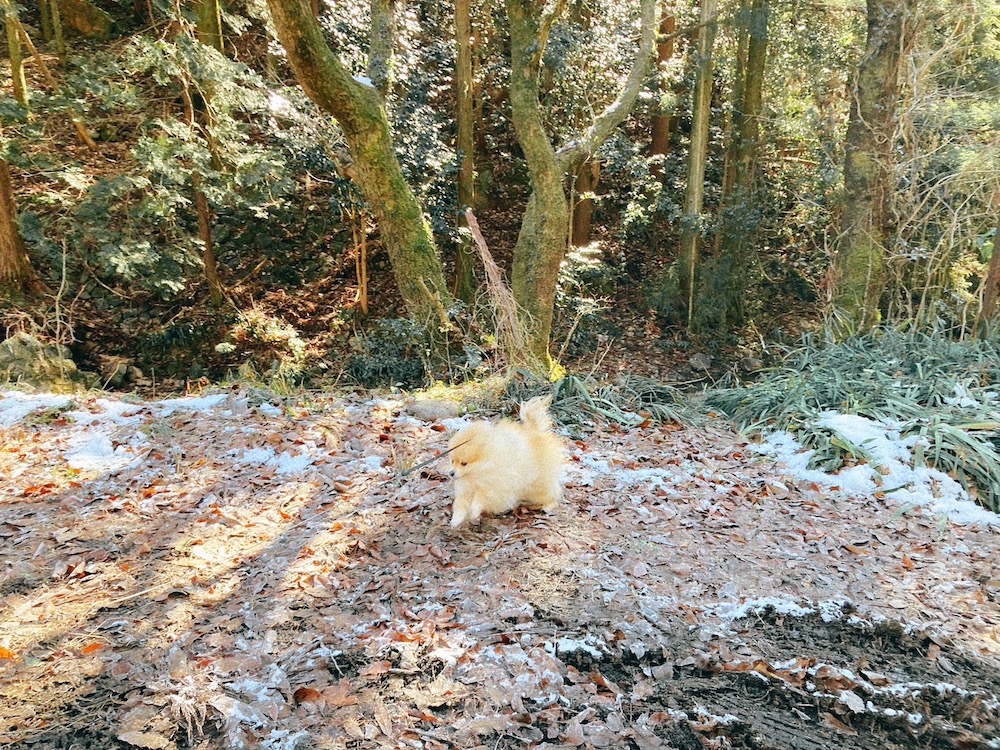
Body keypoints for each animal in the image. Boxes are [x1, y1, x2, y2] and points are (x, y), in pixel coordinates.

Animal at [450, 396, 568, 524]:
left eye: (464, 463)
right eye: (452, 461)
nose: (451, 473)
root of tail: (535, 430)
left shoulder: (495, 490)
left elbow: (480, 499)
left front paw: (474, 511)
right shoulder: (467, 490)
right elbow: (460, 503)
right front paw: (456, 519)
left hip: (539, 485)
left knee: (553, 495)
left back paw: (548, 506)